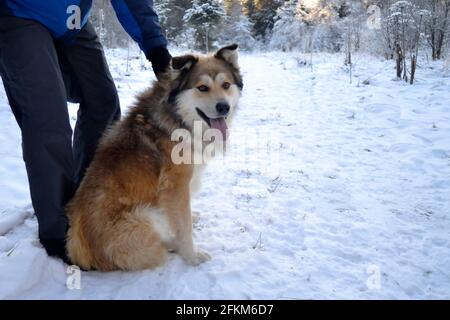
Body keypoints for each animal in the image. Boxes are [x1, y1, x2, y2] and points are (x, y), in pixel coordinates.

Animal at [65, 44, 243, 270]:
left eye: (226, 85)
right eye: (202, 88)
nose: (223, 107)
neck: (178, 119)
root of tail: (80, 252)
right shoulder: (175, 185)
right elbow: (184, 225)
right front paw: (191, 255)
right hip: (144, 218)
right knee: (160, 247)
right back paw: (173, 244)